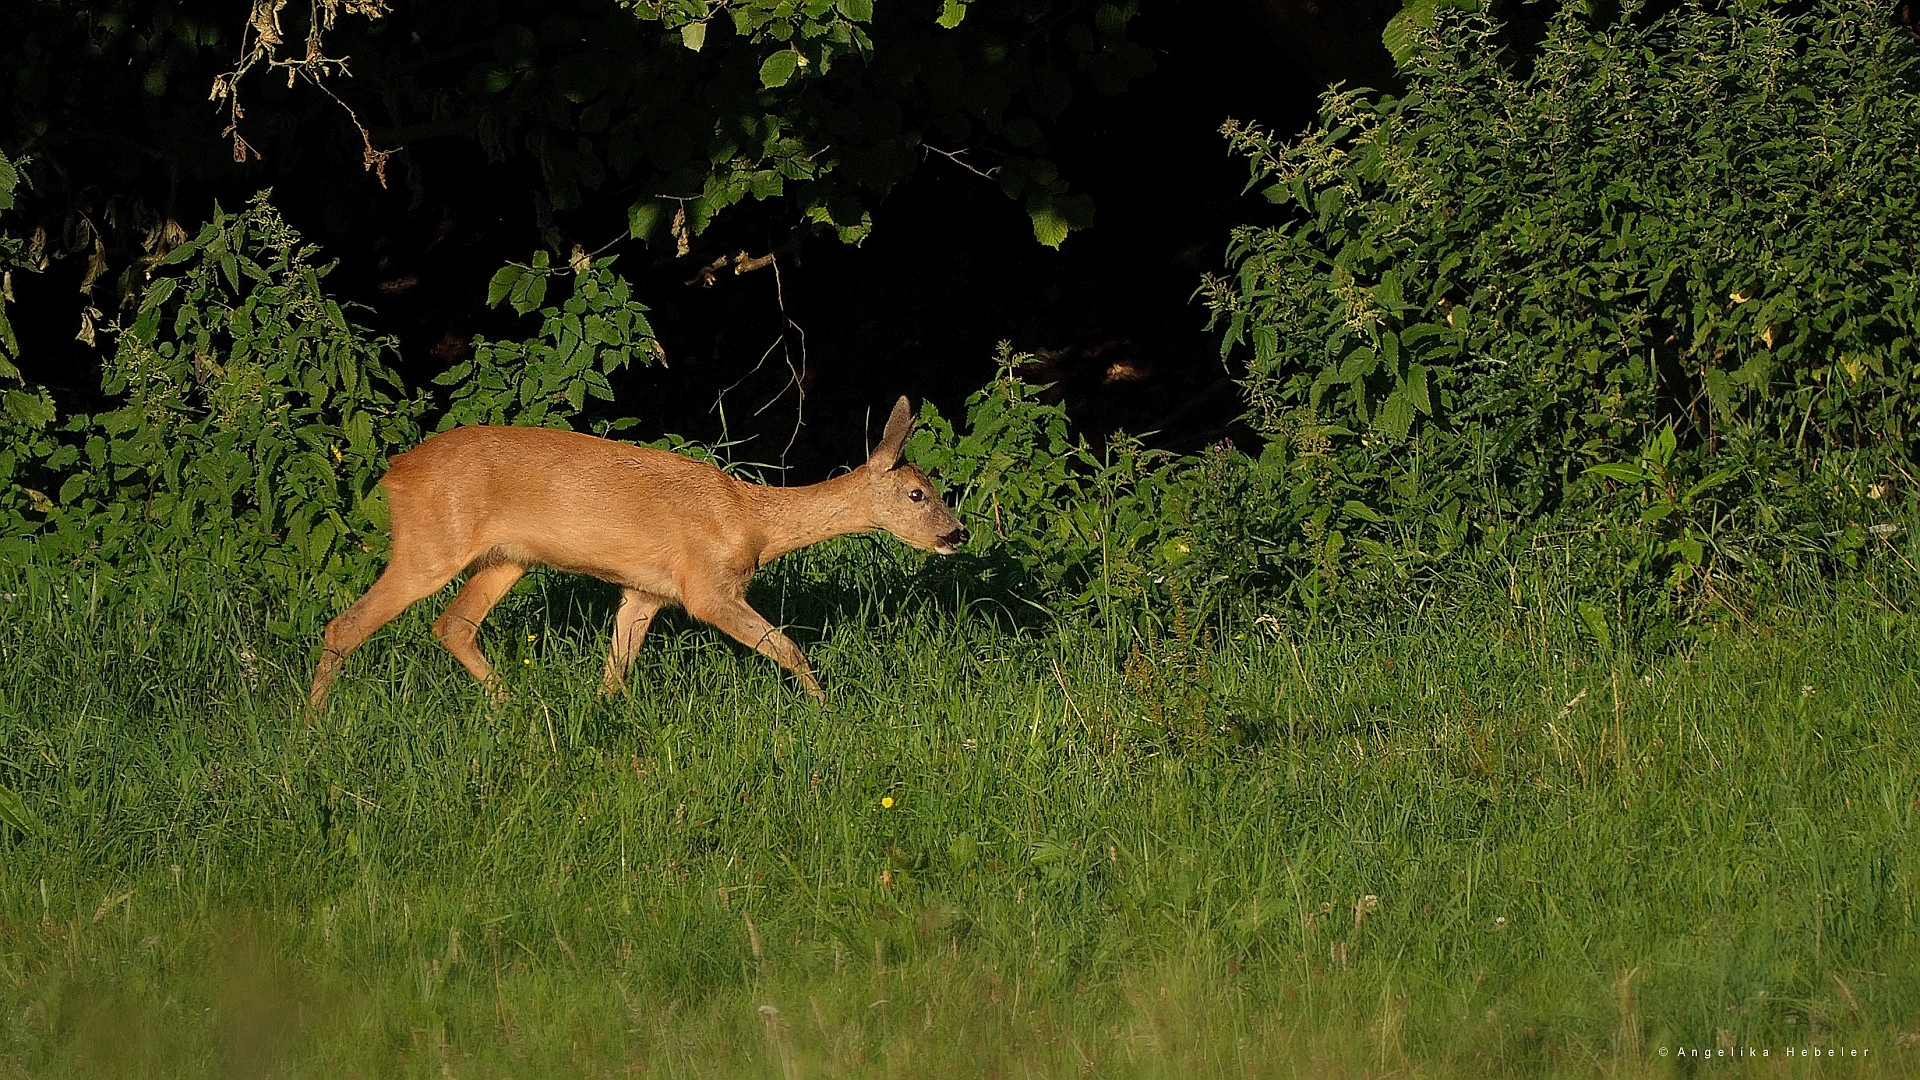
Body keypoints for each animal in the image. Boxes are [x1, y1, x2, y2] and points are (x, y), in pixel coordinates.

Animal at [316, 395, 975, 707]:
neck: (754, 520)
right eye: (918, 493)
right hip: (432, 542)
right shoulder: (706, 586)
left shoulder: (647, 591)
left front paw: (603, 715)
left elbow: (617, 666)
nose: (958, 534)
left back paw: (516, 706)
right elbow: (786, 646)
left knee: (452, 624)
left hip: (506, 557)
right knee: (344, 624)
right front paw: (823, 708)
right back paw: (313, 728)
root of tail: (393, 474)